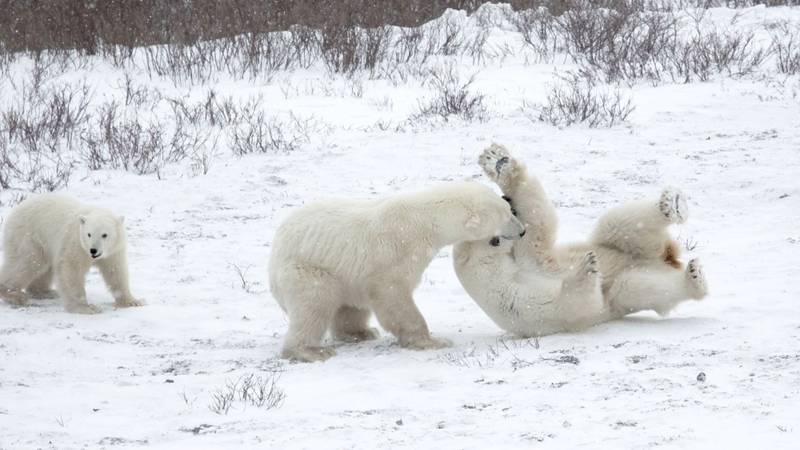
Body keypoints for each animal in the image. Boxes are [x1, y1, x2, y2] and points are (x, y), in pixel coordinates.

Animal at [0, 193, 145, 314]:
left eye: (105, 235)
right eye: (89, 234)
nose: (93, 250)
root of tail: (15, 211)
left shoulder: (114, 251)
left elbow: (116, 271)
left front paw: (133, 301)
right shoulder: (75, 243)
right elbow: (71, 269)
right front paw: (86, 307)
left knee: (44, 268)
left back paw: (46, 292)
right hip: (28, 236)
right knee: (26, 263)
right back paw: (16, 295)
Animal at [269, 178, 526, 362]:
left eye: (508, 209)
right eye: (505, 216)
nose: (523, 230)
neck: (425, 220)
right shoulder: (396, 249)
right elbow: (393, 294)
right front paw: (432, 341)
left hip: (345, 273)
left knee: (351, 306)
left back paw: (362, 332)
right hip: (308, 269)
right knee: (313, 303)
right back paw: (311, 351)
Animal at [453, 144, 709, 338]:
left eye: (504, 205)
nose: (507, 199)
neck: (499, 270)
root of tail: (666, 257)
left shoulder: (528, 257)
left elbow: (537, 221)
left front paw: (498, 161)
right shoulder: (514, 304)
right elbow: (567, 305)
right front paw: (584, 269)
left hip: (626, 242)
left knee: (615, 223)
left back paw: (673, 204)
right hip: (631, 282)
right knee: (634, 287)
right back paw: (694, 278)